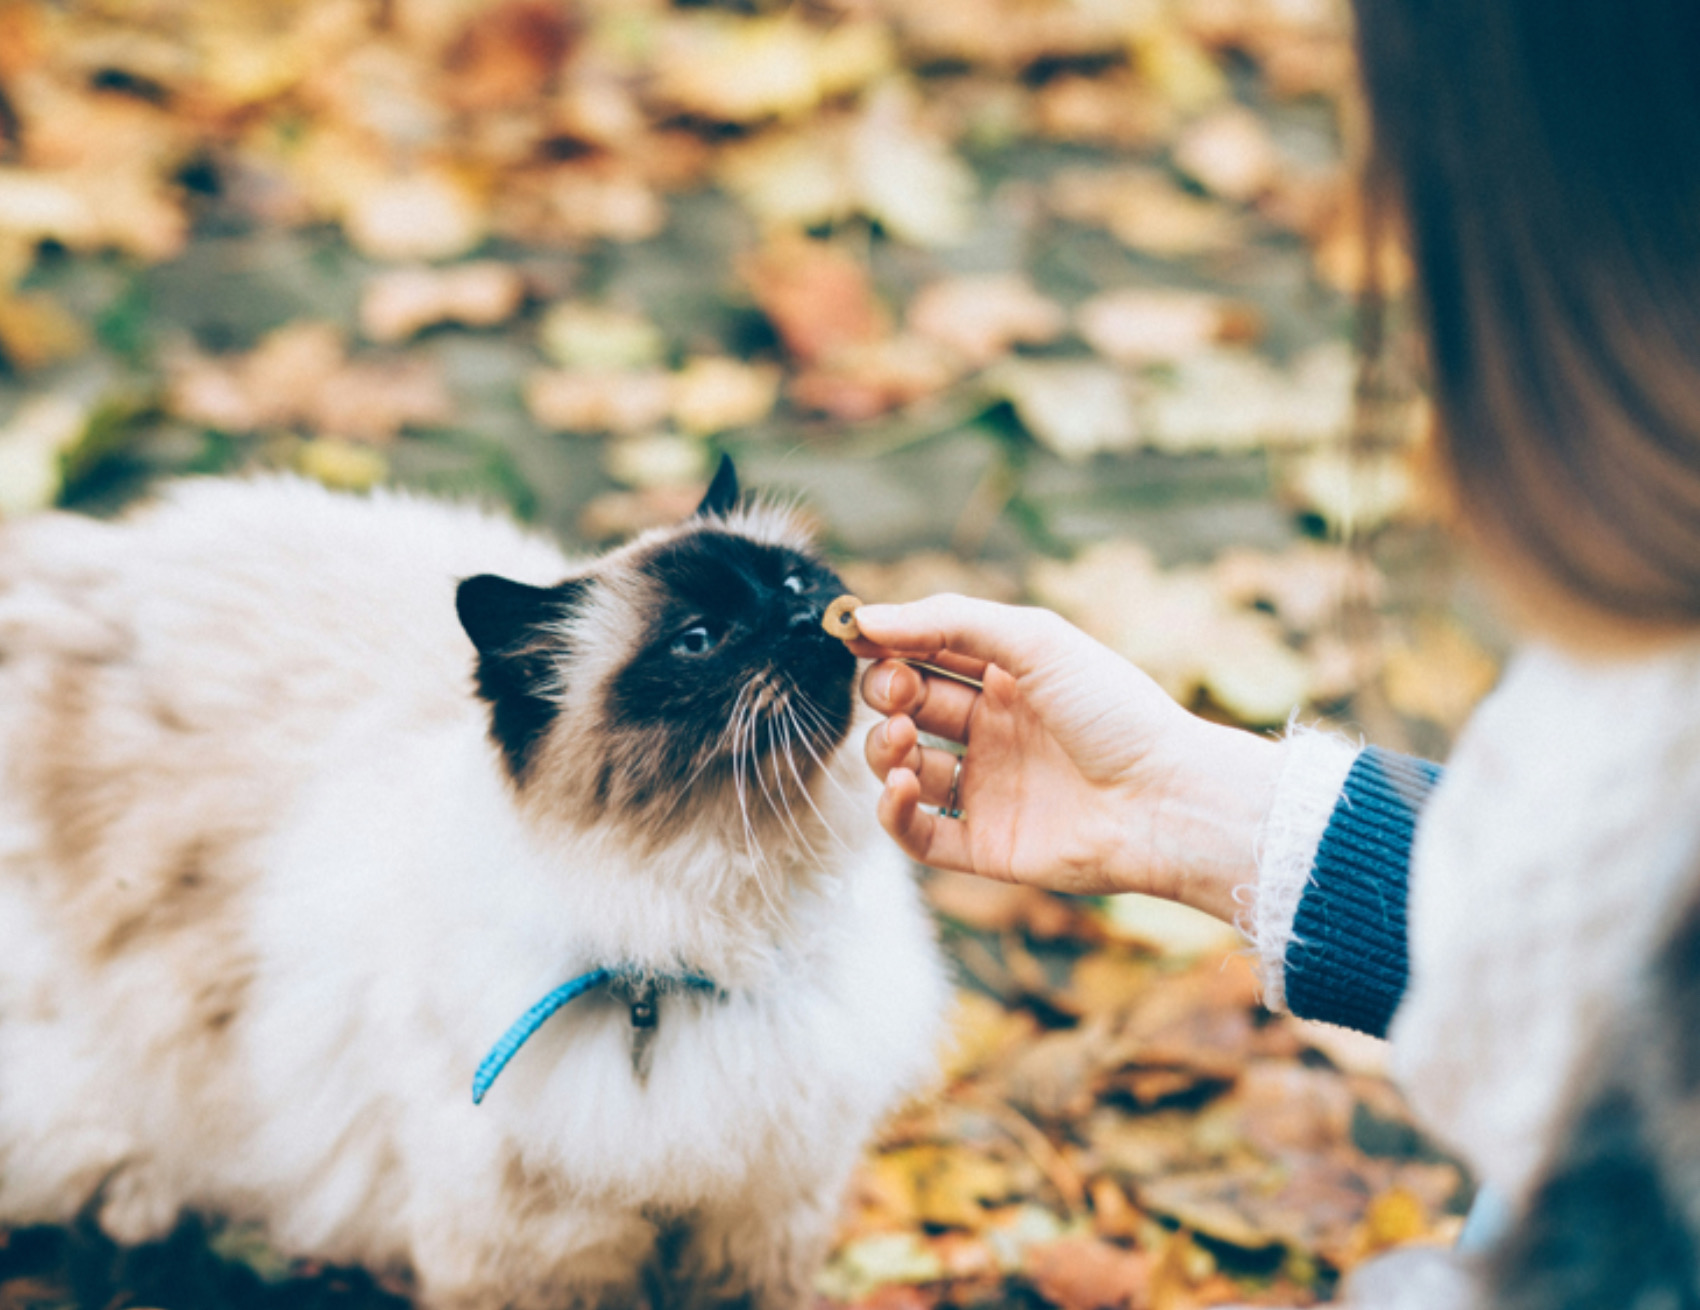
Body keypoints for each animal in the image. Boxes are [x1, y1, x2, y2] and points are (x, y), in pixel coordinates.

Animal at [0, 455, 952, 1304]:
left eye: (793, 582)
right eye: (698, 642)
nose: (808, 620)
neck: (709, 938)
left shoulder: (759, 1222)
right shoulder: (540, 1256)